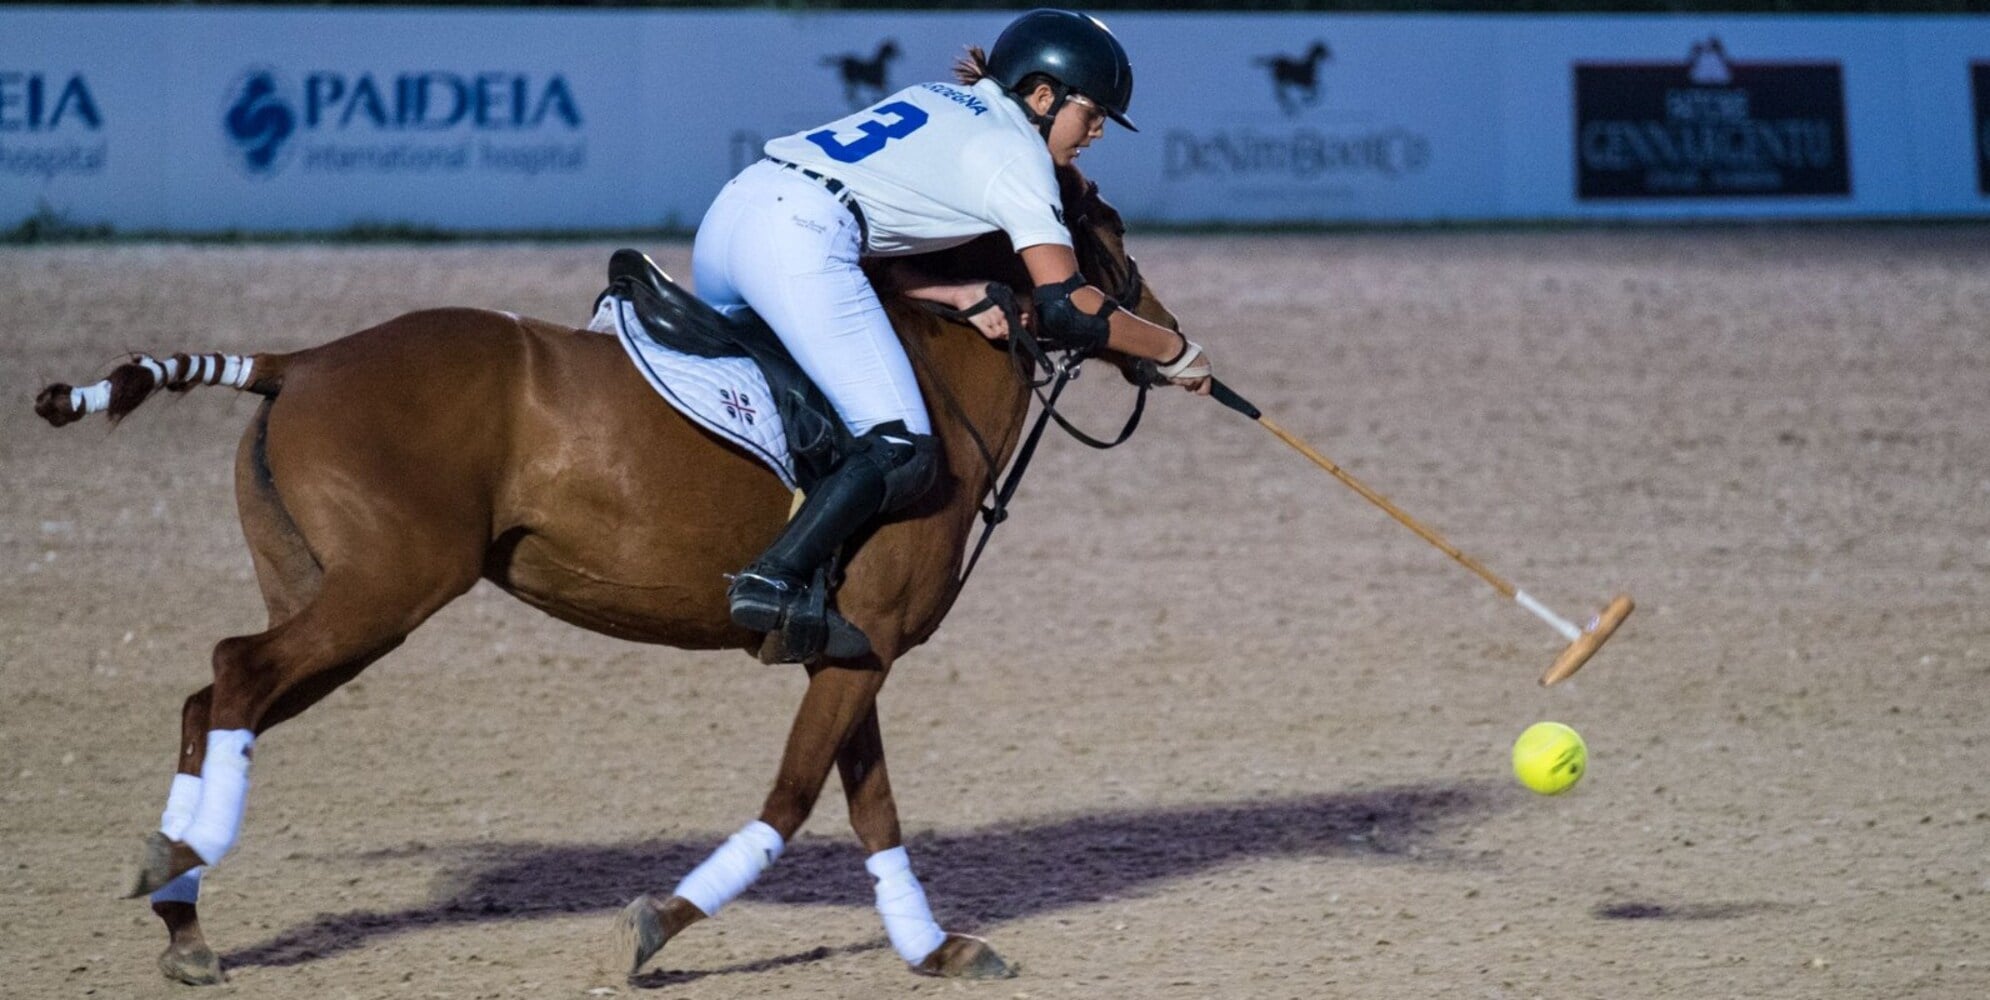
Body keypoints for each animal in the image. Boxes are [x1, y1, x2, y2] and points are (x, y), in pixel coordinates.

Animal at [31, 167, 1175, 986]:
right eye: (1110, 233)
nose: (1168, 342)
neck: (931, 376)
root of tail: (299, 363)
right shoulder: (864, 652)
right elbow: (796, 797)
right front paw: (658, 924)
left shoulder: (853, 649)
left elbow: (870, 808)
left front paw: (934, 949)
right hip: (382, 593)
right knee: (233, 671)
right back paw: (175, 870)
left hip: (333, 596)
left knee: (212, 697)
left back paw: (182, 913)